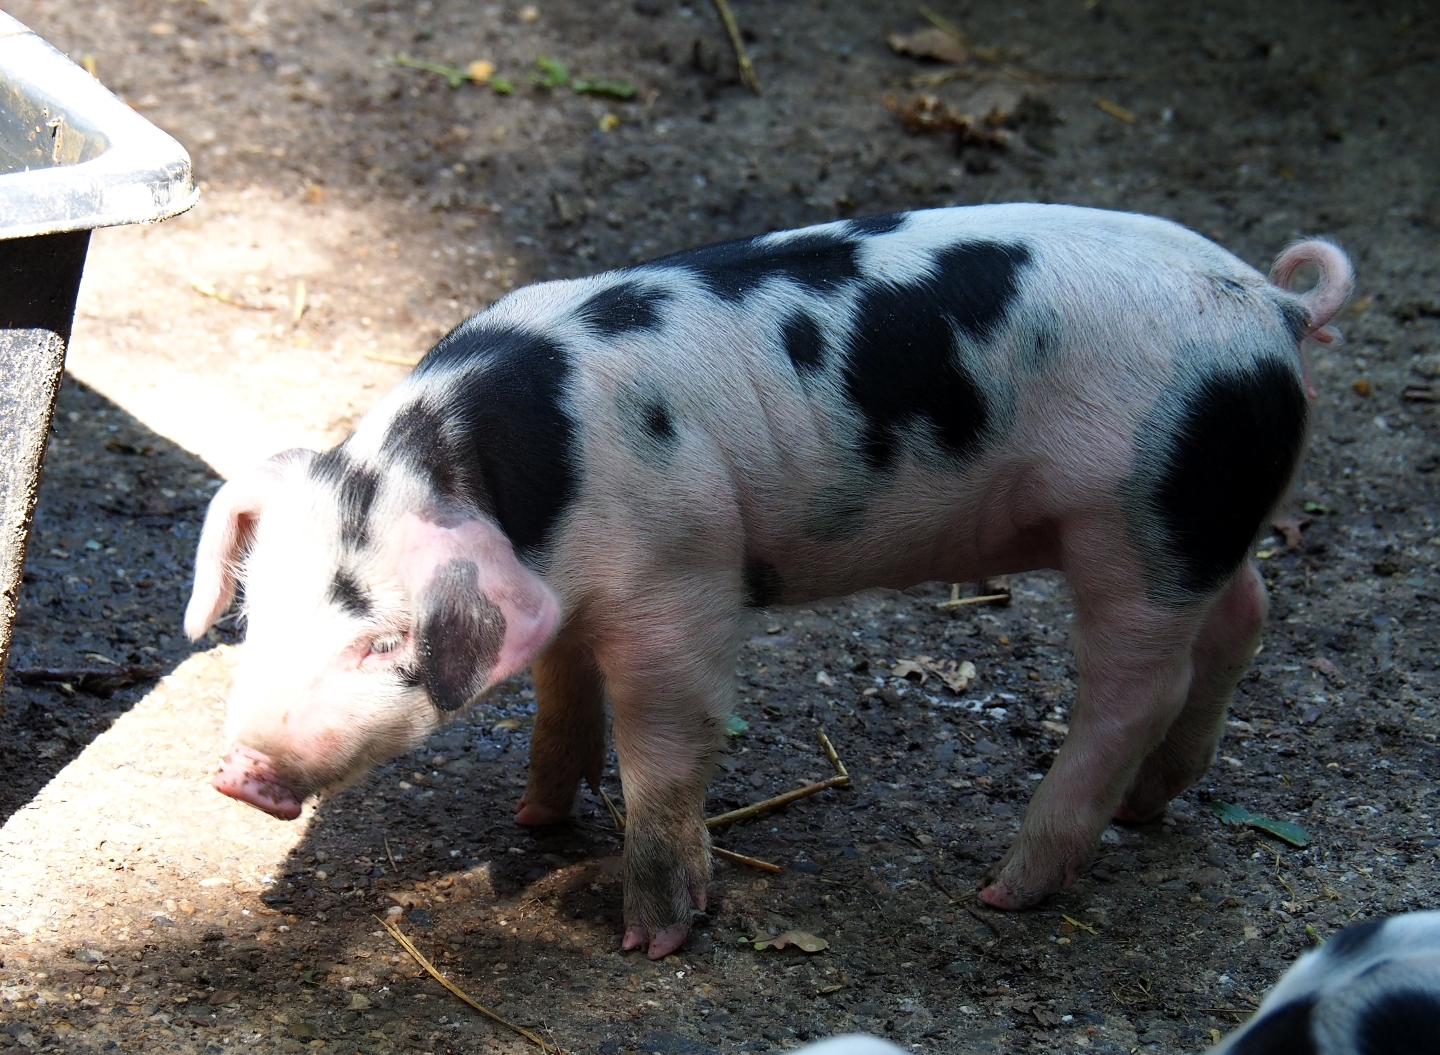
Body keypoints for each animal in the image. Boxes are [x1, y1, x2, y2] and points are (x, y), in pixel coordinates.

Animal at [185, 203, 1353, 958]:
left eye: (384, 638)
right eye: (255, 613)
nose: (240, 772)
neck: (537, 477)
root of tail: (1271, 309)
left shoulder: (685, 582)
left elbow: (665, 748)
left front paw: (652, 937)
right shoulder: (571, 593)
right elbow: (562, 695)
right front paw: (535, 817)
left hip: (1138, 523)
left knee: (1135, 687)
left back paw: (1005, 889)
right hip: (1199, 526)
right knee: (1245, 614)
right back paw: (1153, 806)